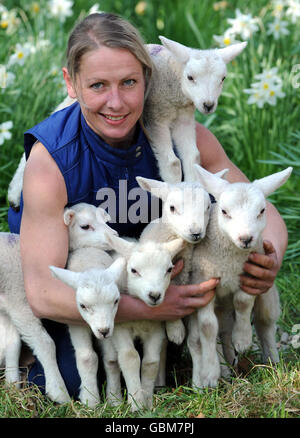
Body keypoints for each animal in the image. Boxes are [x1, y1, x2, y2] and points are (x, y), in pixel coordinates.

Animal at [0, 204, 122, 406]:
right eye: (85, 226)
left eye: (104, 220)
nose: (115, 235)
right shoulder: (21, 303)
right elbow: (45, 344)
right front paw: (58, 392)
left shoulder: (9, 306)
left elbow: (12, 343)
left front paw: (12, 387)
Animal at [99, 234, 184, 412]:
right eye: (133, 270)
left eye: (169, 270)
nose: (154, 295)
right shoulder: (119, 328)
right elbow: (129, 357)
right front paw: (136, 402)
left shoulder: (156, 329)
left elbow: (150, 363)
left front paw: (148, 401)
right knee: (111, 361)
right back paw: (114, 399)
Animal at [189, 164, 292, 386]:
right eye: (224, 211)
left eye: (262, 211)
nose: (246, 239)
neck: (230, 262)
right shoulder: (202, 283)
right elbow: (208, 326)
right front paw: (210, 372)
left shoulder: (249, 276)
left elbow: (243, 302)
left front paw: (243, 340)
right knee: (221, 331)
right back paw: (225, 369)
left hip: (267, 294)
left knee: (264, 324)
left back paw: (271, 363)